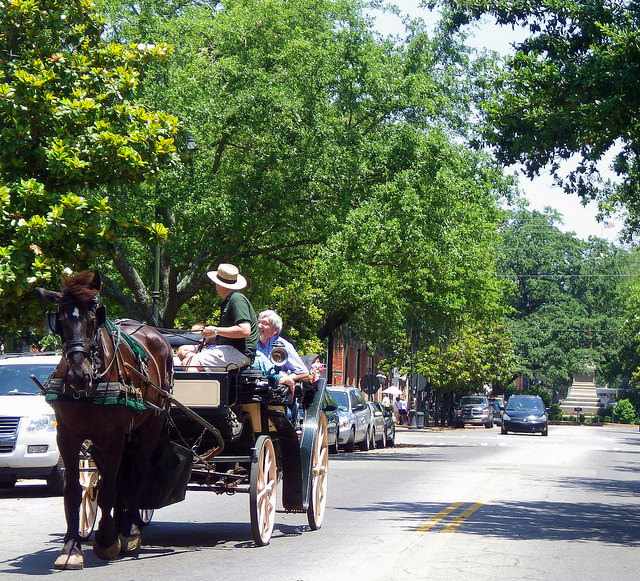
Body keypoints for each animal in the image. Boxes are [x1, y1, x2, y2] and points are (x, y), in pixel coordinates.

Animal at [37, 270, 172, 568]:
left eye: (93, 318)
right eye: (60, 320)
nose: (78, 375)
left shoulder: (113, 436)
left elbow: (110, 487)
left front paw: (108, 540)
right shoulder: (68, 436)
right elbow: (74, 490)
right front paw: (71, 546)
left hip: (149, 428)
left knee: (136, 474)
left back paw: (129, 531)